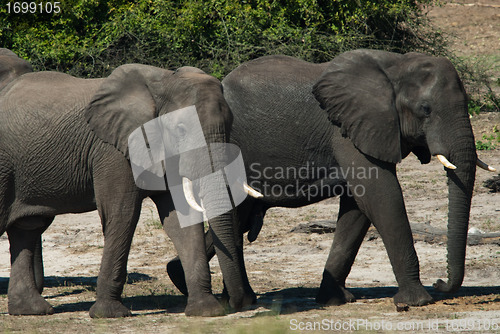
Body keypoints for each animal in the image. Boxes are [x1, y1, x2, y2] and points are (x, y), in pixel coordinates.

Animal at [0, 63, 258, 318]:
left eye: (230, 124)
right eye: (182, 129)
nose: (237, 304)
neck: (164, 82)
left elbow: (181, 220)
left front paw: (206, 311)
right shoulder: (113, 151)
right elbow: (122, 215)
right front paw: (109, 314)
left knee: (28, 229)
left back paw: (31, 310)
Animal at [166, 49, 494, 308]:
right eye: (425, 110)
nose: (440, 283)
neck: (395, 65)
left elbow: (358, 206)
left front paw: (335, 300)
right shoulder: (346, 130)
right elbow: (380, 194)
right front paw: (415, 301)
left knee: (239, 217)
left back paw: (185, 280)